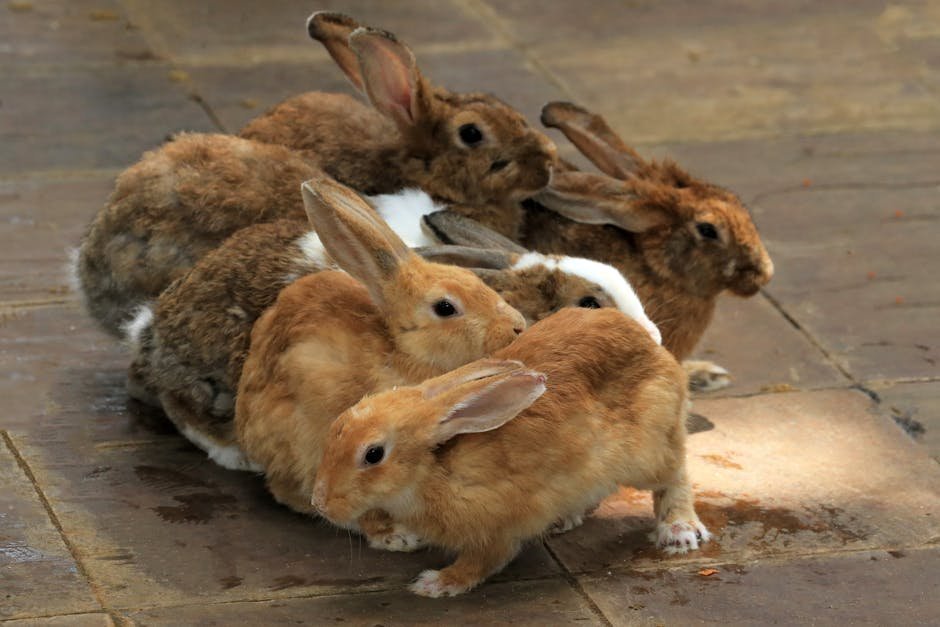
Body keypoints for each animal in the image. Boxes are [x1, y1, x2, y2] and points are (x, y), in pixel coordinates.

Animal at [131, 188, 659, 470]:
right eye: (588, 301)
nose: (653, 339)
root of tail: (151, 335)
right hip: (216, 375)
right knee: (183, 410)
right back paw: (235, 456)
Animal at [311, 305, 710, 597]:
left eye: (373, 454)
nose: (321, 504)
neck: (434, 469)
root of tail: (653, 346)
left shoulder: (497, 530)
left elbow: (482, 562)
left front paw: (435, 583)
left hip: (648, 451)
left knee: (675, 476)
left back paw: (680, 530)